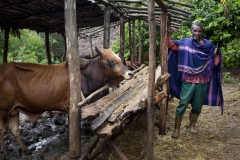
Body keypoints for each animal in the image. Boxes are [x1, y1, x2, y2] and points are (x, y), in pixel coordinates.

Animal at [0, 46, 133, 155]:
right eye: (111, 62)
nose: (130, 73)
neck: (85, 75)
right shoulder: (72, 107)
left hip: (13, 110)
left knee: (14, 129)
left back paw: (26, 150)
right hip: (3, 110)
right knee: (2, 130)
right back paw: (6, 152)